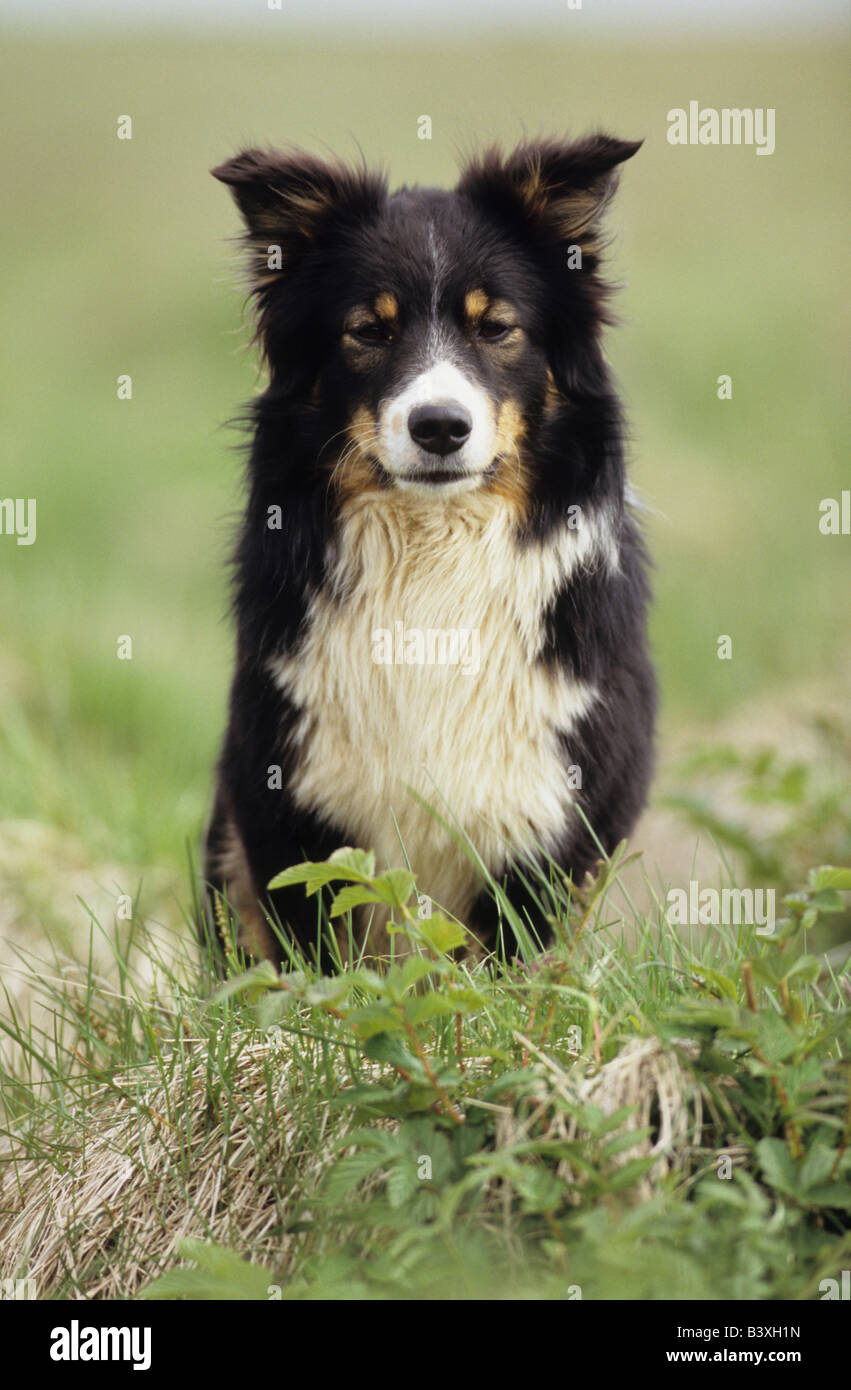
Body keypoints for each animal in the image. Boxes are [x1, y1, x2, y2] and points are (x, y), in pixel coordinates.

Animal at [204, 138, 659, 967]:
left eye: (497, 327)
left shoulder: (557, 816)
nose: (440, 426)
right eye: (369, 330)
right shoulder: (285, 797)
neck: (433, 551)